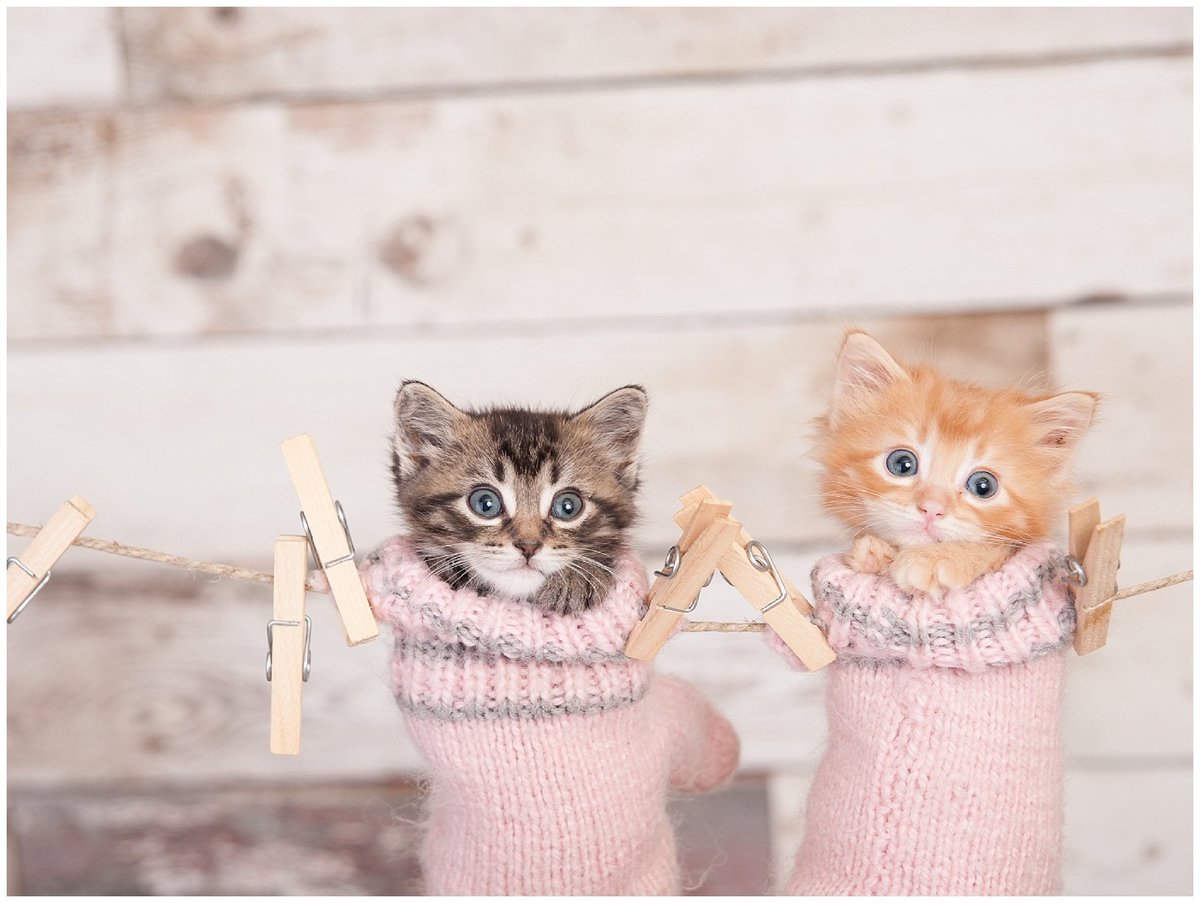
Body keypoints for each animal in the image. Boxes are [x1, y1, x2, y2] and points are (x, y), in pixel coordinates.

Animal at [820, 329, 1099, 595]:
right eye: (902, 464)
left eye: (983, 486)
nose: (931, 509)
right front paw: (873, 553)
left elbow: (996, 546)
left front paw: (935, 559)